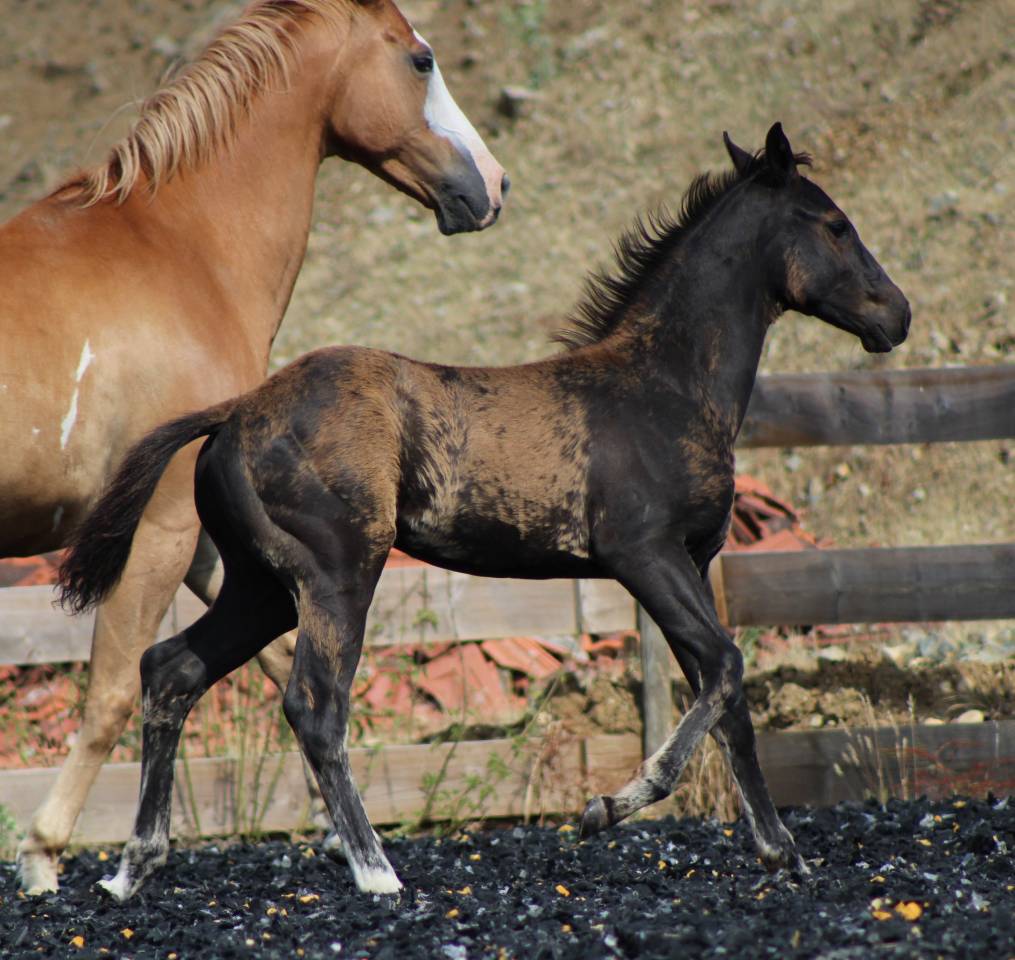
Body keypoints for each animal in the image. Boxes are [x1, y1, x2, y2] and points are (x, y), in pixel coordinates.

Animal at [10, 0, 507, 895]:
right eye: (419, 60)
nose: (491, 185)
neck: (176, 253)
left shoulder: (220, 541)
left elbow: (263, 663)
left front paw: (343, 833)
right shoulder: (163, 527)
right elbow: (114, 688)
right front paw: (43, 854)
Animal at [58, 123, 910, 899]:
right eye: (834, 223)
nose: (894, 315)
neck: (662, 387)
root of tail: (235, 412)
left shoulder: (692, 564)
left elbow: (725, 689)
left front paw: (779, 852)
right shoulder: (644, 556)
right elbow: (725, 667)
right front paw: (606, 806)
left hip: (260, 585)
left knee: (171, 671)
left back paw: (131, 870)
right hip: (336, 576)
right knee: (314, 704)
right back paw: (376, 873)